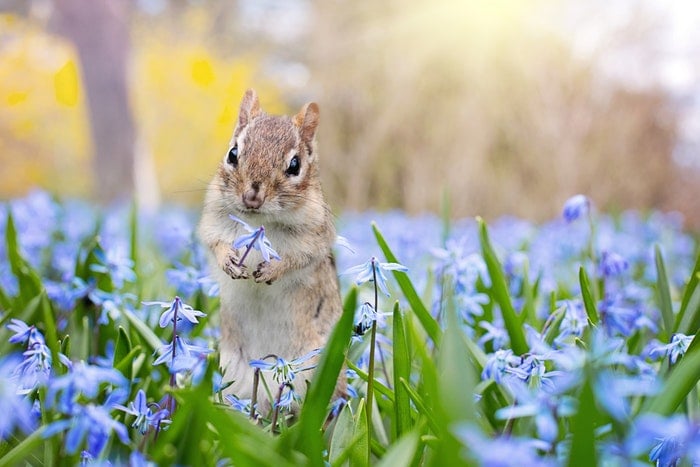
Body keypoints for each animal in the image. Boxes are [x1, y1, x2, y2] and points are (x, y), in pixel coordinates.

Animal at [198, 89, 343, 411]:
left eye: (295, 165)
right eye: (233, 153)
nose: (252, 196)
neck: (257, 221)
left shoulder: (314, 237)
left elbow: (297, 259)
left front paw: (272, 270)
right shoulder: (212, 223)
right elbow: (215, 244)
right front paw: (229, 261)